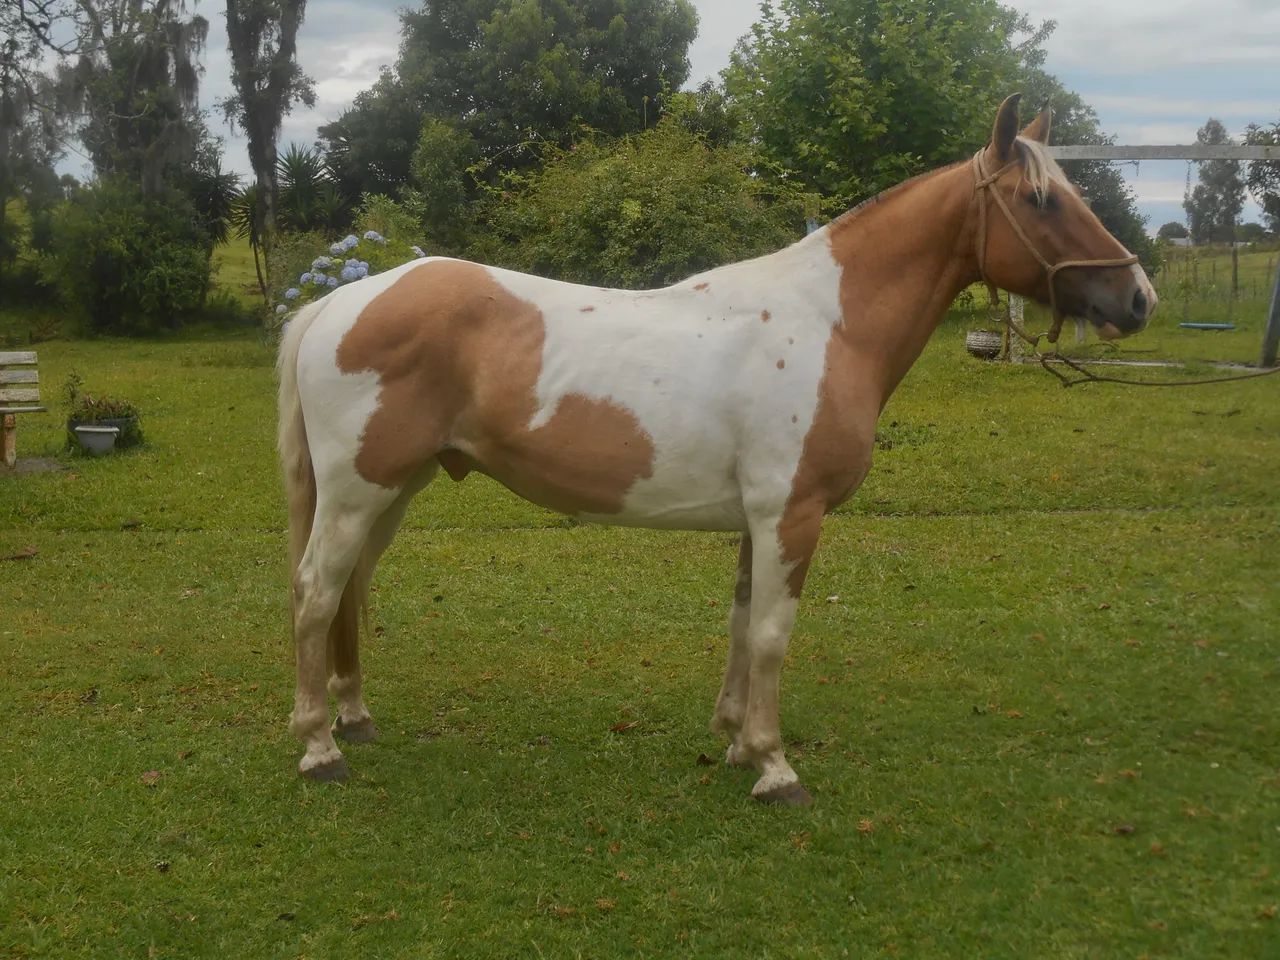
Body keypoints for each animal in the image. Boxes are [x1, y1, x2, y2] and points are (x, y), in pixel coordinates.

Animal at [277, 94, 1156, 804]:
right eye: (1041, 199)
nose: (1137, 297)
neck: (827, 322)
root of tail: (336, 303)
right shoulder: (791, 516)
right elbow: (772, 633)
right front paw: (774, 766)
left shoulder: (757, 522)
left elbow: (741, 622)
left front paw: (735, 740)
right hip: (359, 492)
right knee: (316, 592)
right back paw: (319, 749)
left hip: (394, 491)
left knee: (350, 589)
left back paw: (353, 718)